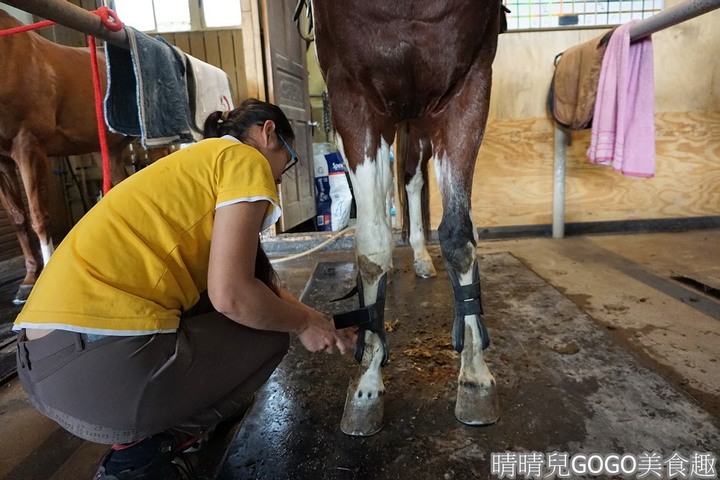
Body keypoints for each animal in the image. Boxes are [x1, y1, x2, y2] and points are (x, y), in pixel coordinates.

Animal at [0, 9, 131, 304]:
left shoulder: (28, 146)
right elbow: (18, 219)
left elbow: (38, 216)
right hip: (109, 150)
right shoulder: (1, 161)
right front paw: (29, 280)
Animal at [312, 0, 504, 436]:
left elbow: (458, 236)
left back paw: (419, 256)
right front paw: (367, 384)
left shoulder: (469, 90)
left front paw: (474, 376)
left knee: (412, 179)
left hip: (415, 120)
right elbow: (371, 245)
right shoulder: (352, 98)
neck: (405, 8)